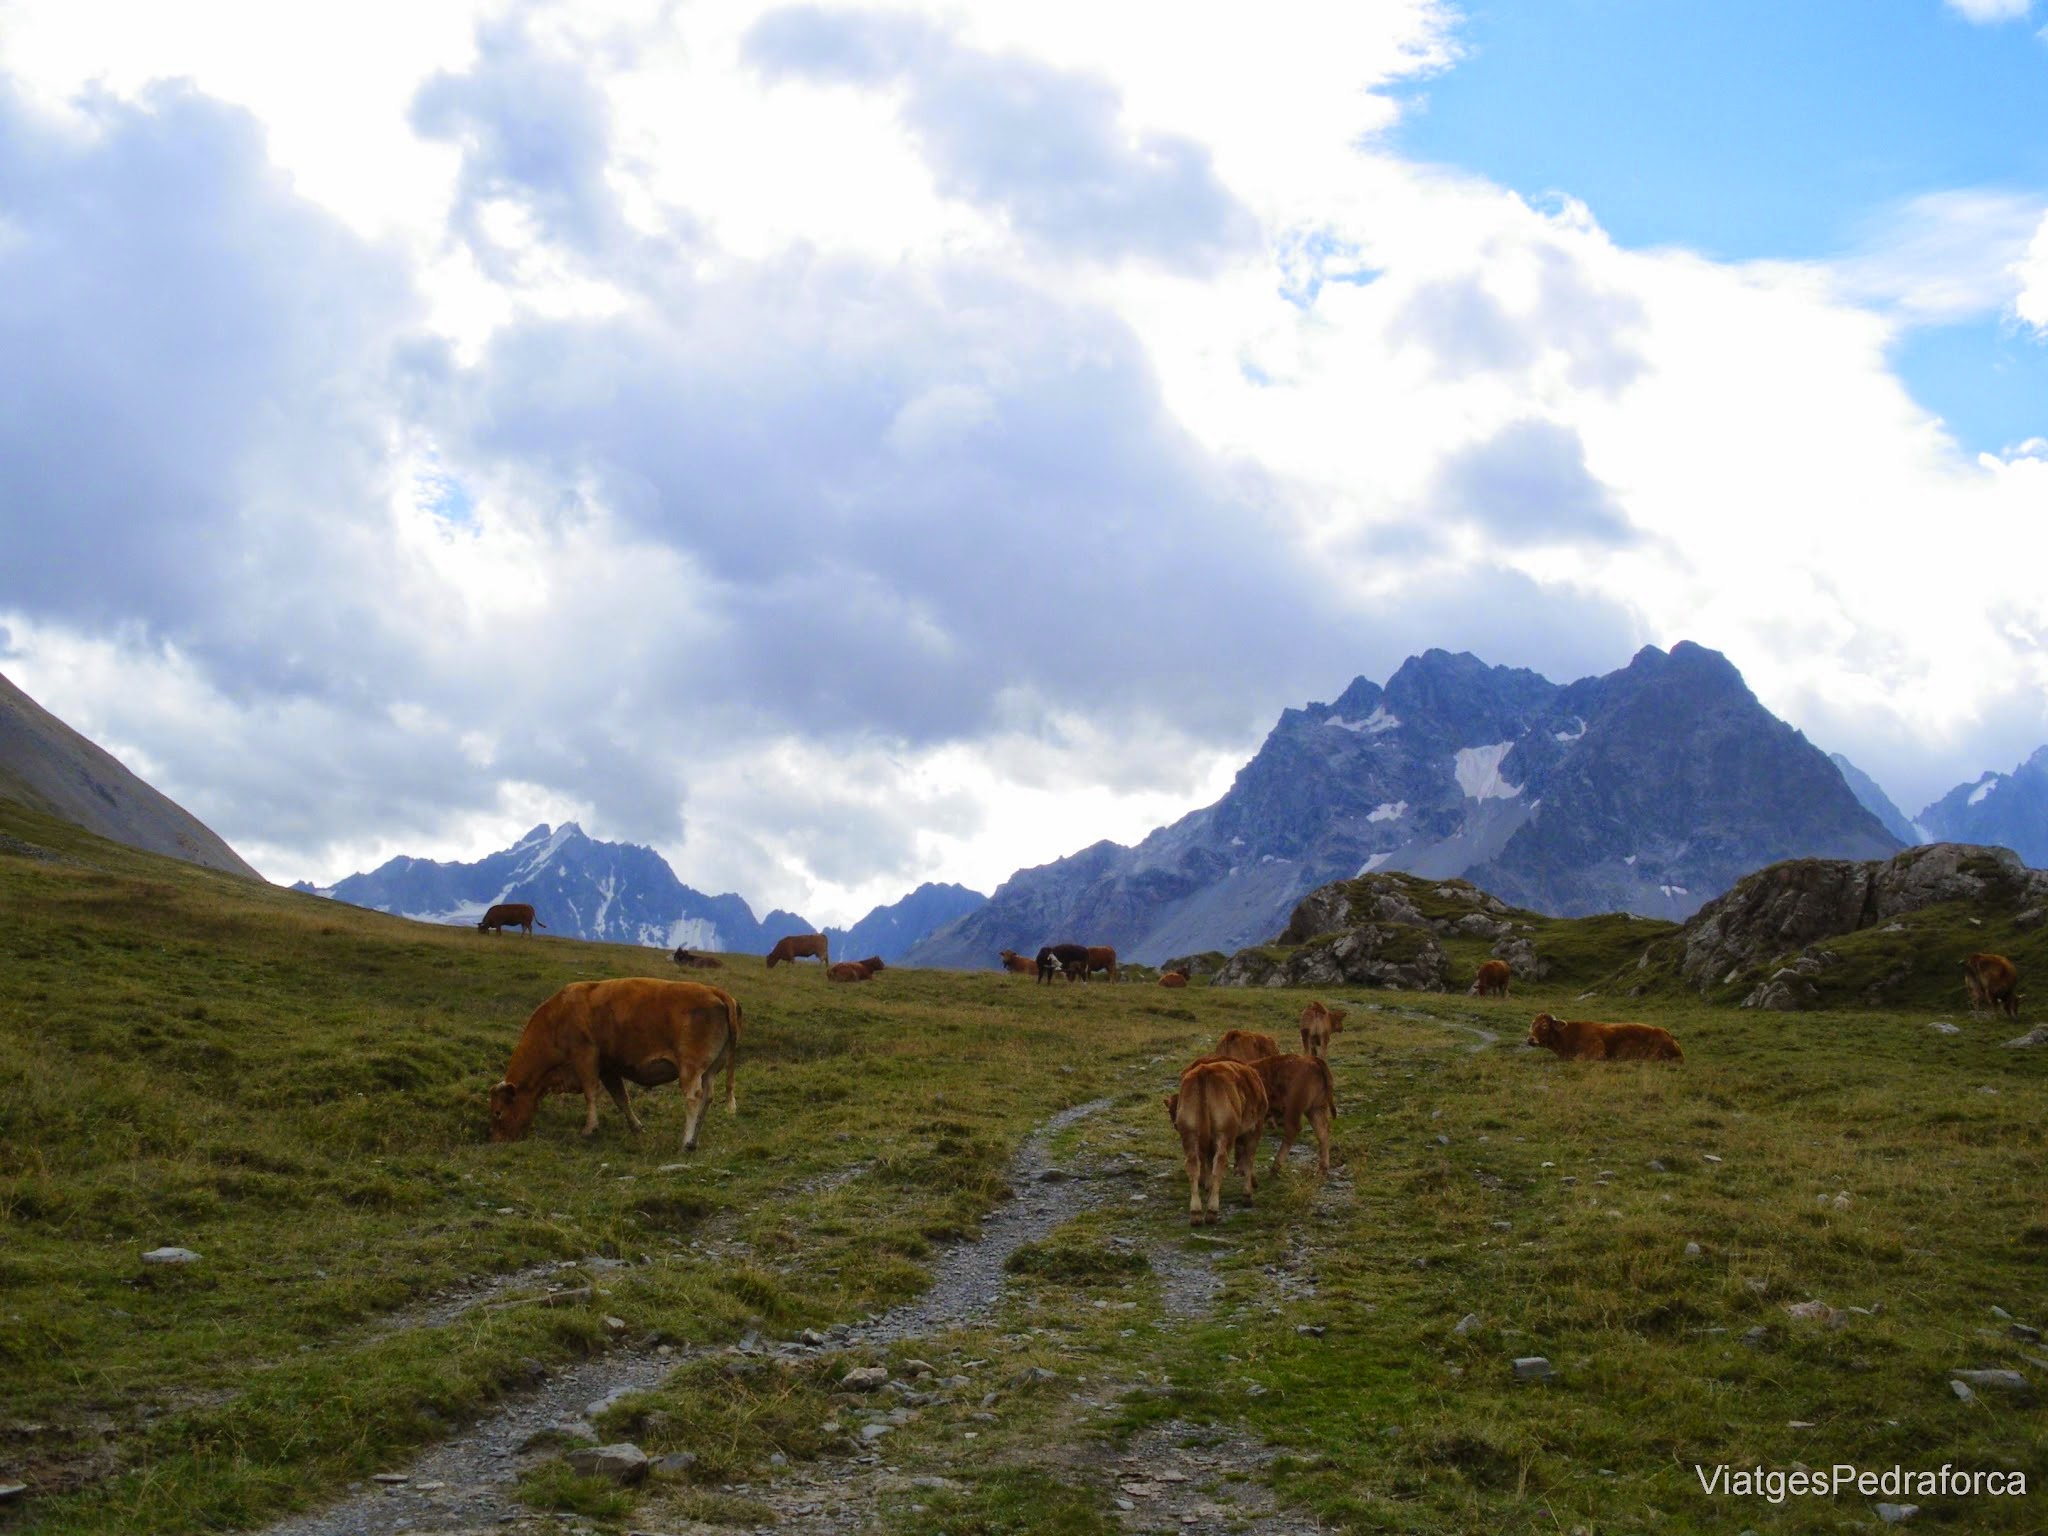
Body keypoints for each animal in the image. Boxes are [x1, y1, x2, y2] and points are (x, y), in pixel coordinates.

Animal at [487, 978, 745, 1146]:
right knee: (708, 1097)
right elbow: (622, 1099)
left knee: (694, 1097)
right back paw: (694, 1140)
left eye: (498, 1112)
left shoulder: (585, 1057)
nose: (498, 1140)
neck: (557, 1015)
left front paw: (589, 1128)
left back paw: (686, 1140)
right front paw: (637, 1127)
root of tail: (715, 992)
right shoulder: (608, 1068)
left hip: (690, 1069)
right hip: (710, 1070)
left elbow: (591, 1093)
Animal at [1171, 1064, 1261, 1236]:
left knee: (1193, 1166)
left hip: (1189, 1131)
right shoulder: (1254, 1129)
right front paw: (1247, 1195)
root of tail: (1203, 1071)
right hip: (1224, 1132)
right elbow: (1249, 1159)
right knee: (1219, 1163)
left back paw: (1196, 1213)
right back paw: (1212, 1211)